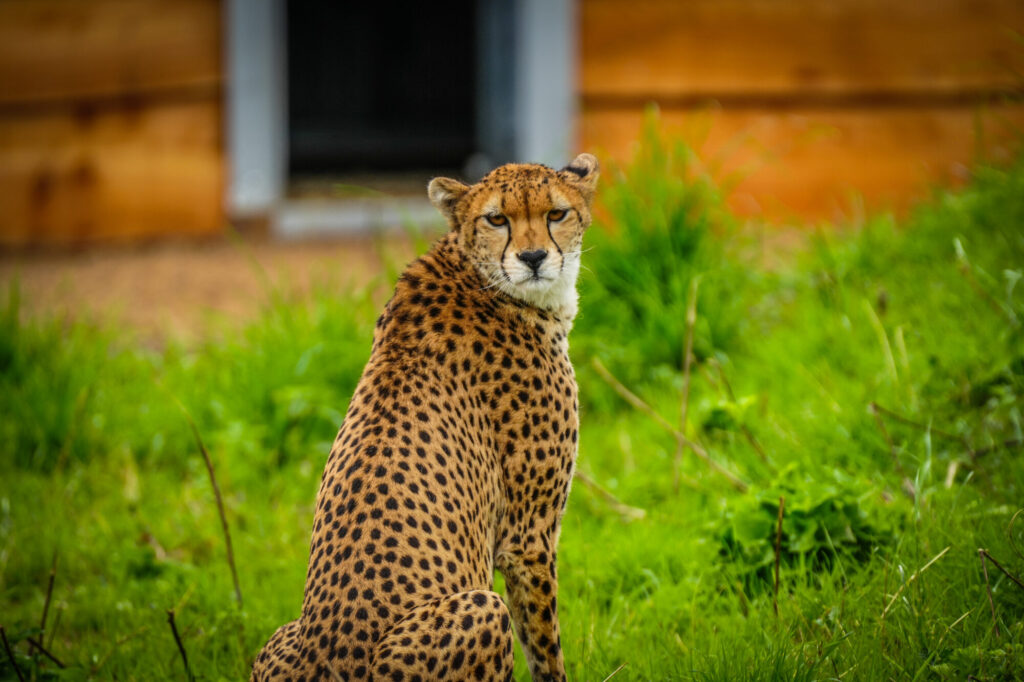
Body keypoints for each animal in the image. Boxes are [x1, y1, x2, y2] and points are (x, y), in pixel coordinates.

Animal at [251, 153, 599, 682]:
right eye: (497, 219)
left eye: (556, 214)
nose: (534, 257)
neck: (477, 274)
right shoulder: (528, 538)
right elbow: (546, 652)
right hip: (483, 605)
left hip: (279, 637)